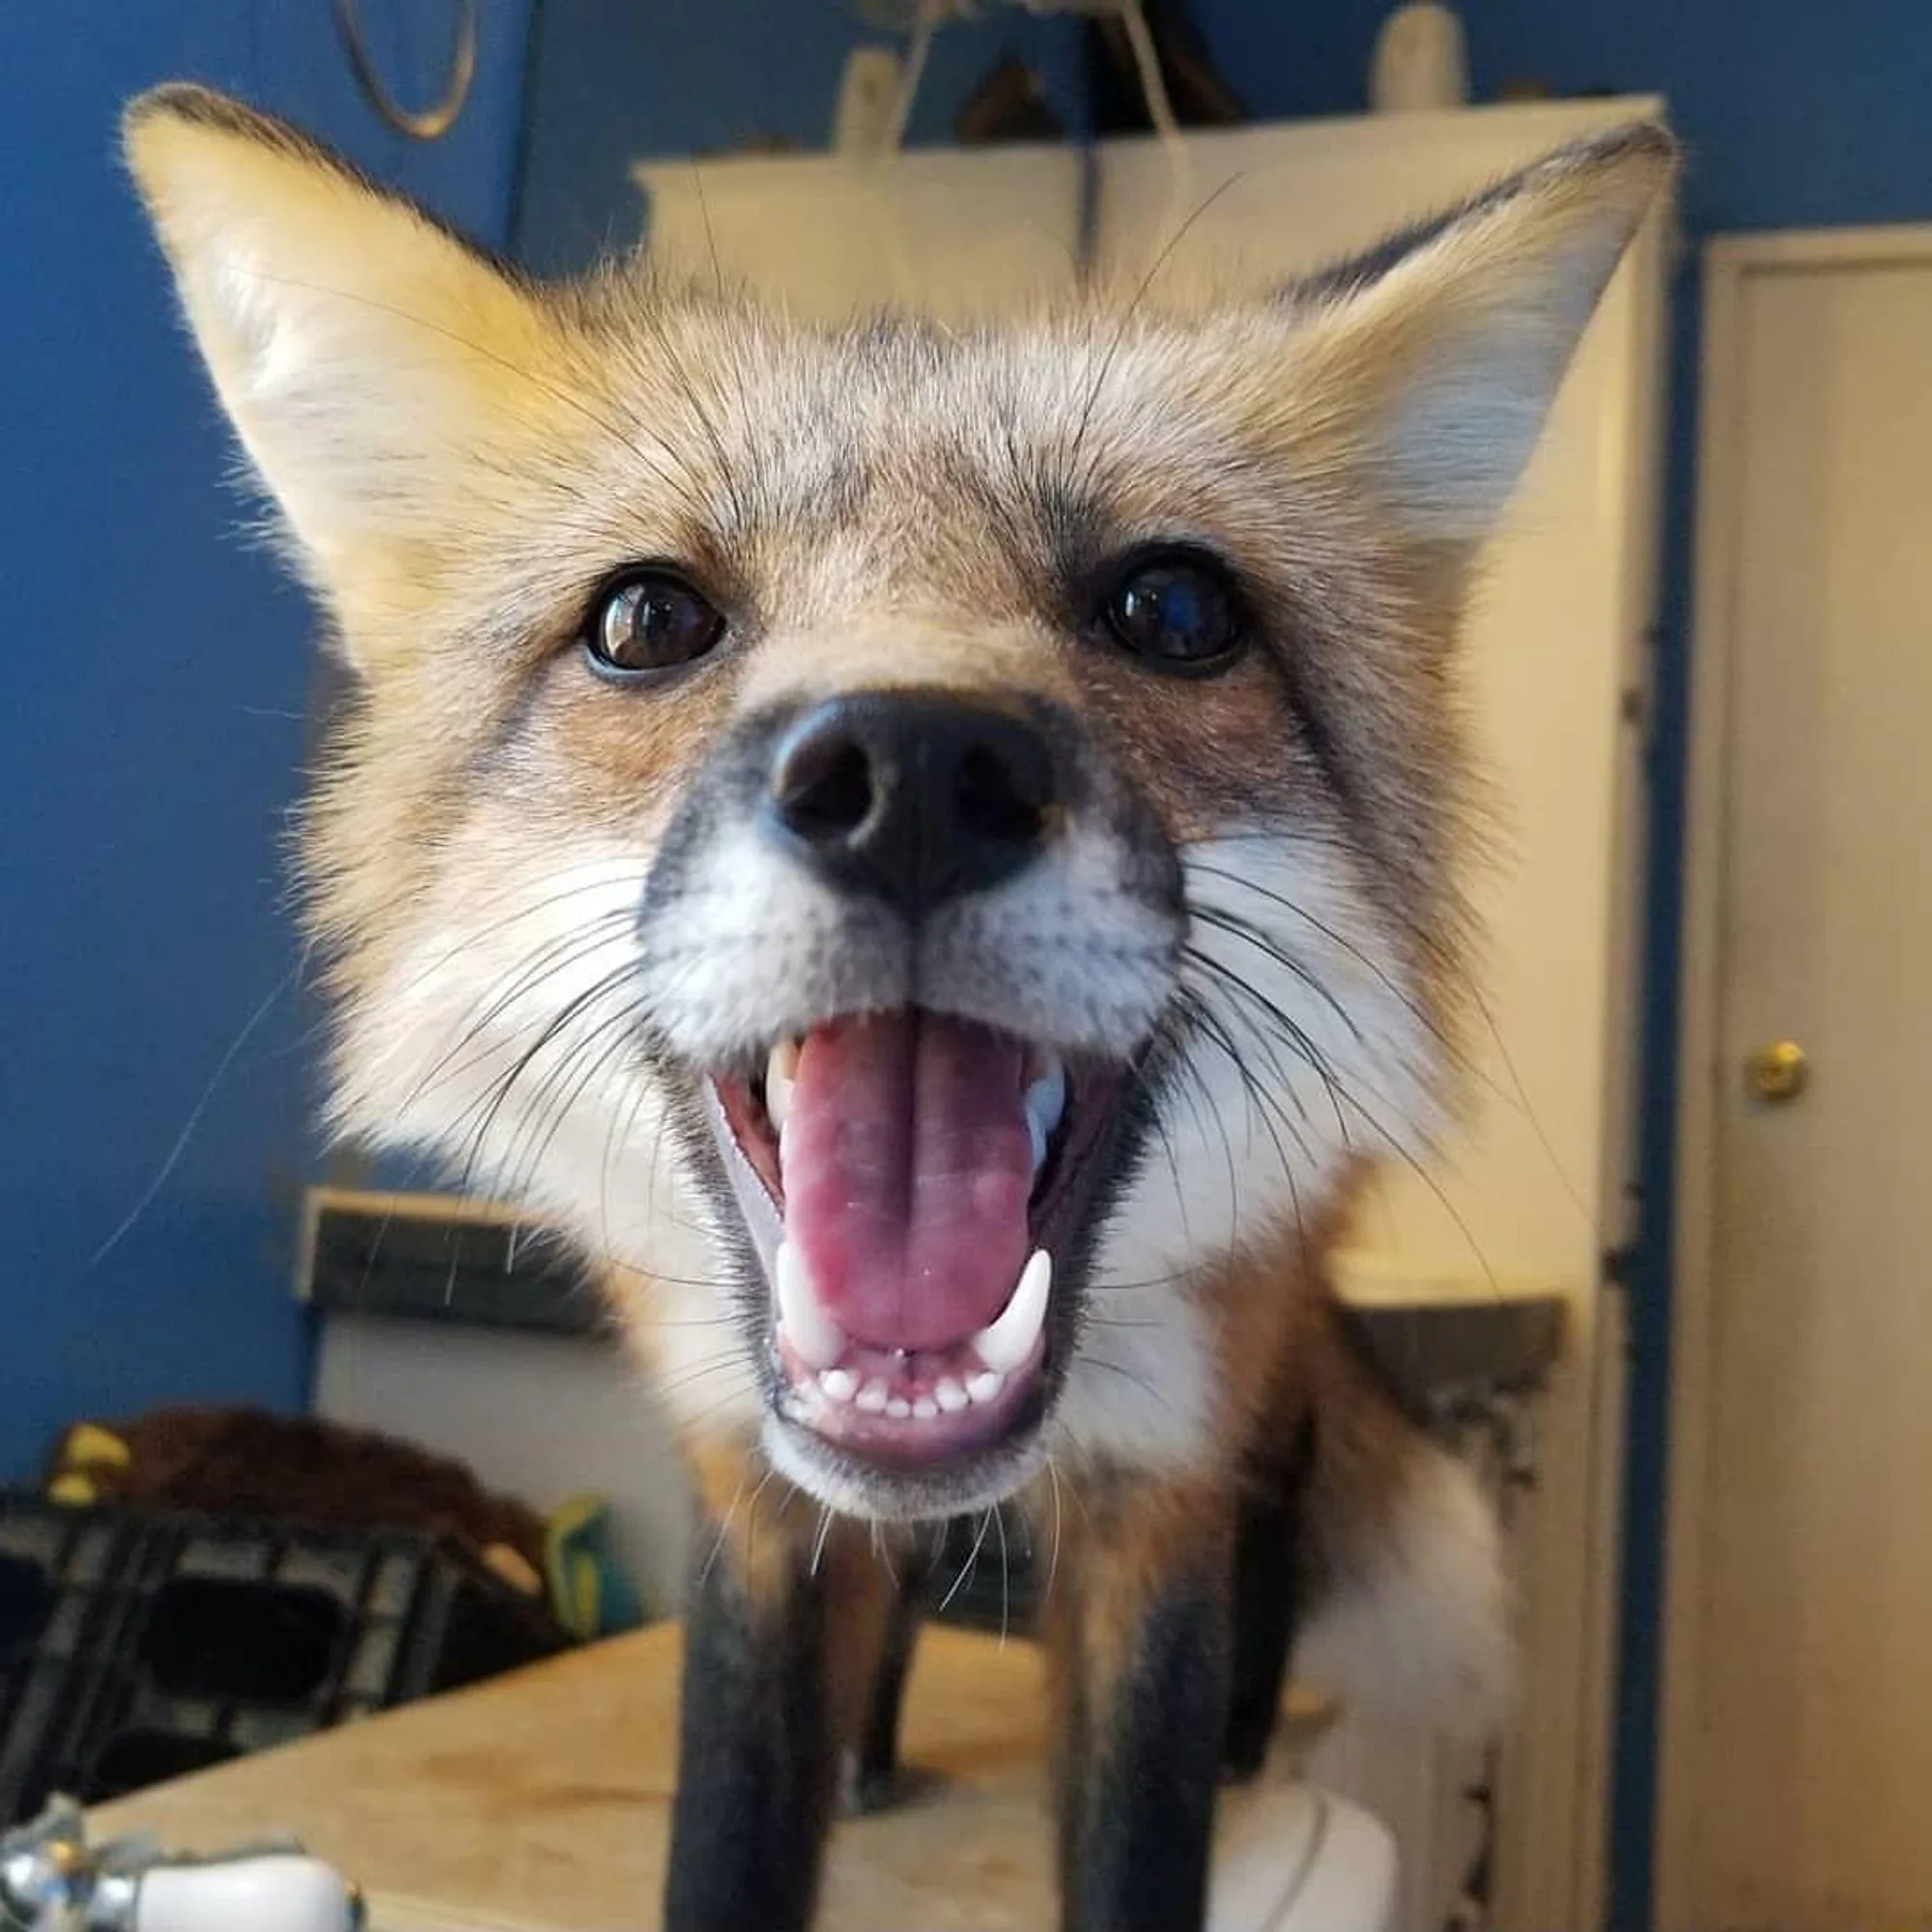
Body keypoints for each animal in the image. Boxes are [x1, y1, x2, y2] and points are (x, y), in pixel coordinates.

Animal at [123, 83, 1671, 1931]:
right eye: (645, 618)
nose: (916, 776)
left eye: (1175, 608)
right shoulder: (750, 1484)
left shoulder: (1161, 1486)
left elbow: (1142, 1822)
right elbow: (733, 1815)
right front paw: (820, 1768)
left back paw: (1246, 1737)